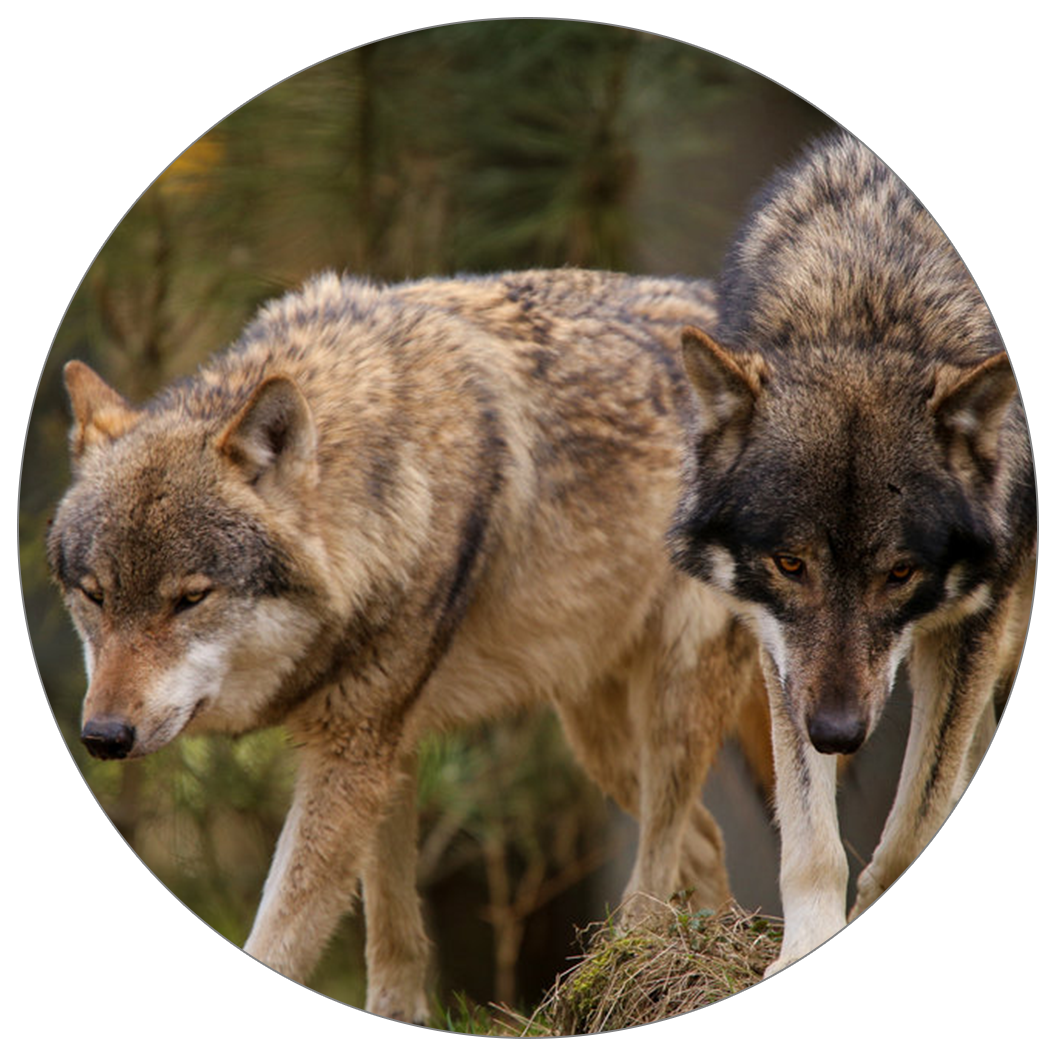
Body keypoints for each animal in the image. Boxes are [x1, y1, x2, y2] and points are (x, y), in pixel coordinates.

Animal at [47, 267, 765, 1037]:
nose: (103, 736)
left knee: (668, 847)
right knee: (706, 837)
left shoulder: (353, 752)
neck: (388, 479)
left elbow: (260, 970)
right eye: (94, 596)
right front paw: (394, 1019)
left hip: (673, 698)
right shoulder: (386, 744)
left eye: (190, 598)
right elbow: (391, 933)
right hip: (596, 736)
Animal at [669, 131, 1033, 1001]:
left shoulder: (980, 608)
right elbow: (810, 835)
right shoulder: (780, 648)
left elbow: (918, 818)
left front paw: (880, 916)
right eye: (789, 563)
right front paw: (811, 956)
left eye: (898, 573)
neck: (871, 301)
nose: (837, 734)